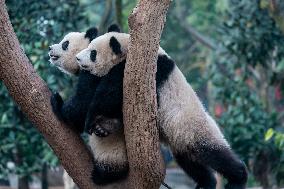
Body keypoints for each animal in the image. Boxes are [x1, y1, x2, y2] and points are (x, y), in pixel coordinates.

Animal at [48, 26, 129, 188]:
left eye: (65, 44)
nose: (50, 48)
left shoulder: (93, 72)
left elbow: (83, 104)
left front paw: (58, 102)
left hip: (114, 153)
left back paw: (103, 175)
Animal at [76, 29, 248, 189]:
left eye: (93, 52)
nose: (77, 58)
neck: (128, 48)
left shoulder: (142, 72)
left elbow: (110, 95)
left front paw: (94, 122)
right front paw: (104, 125)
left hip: (194, 128)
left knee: (214, 154)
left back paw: (238, 178)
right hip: (180, 139)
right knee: (190, 162)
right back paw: (207, 183)